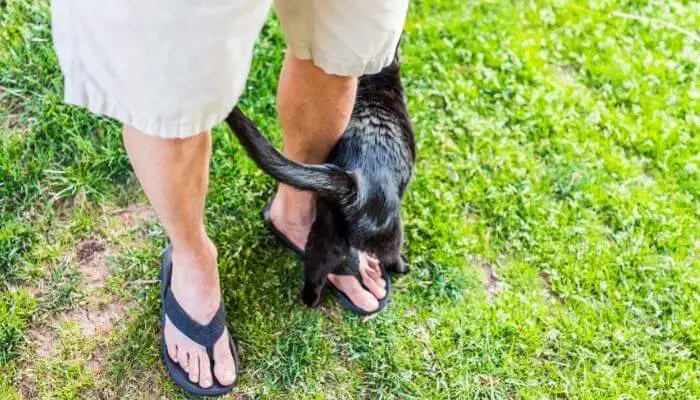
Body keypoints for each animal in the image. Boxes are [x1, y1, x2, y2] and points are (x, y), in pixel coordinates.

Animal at [227, 50, 416, 306]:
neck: (375, 86)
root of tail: (354, 182)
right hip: (389, 232)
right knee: (389, 255)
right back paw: (401, 266)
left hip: (326, 232)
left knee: (315, 268)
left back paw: (310, 300)